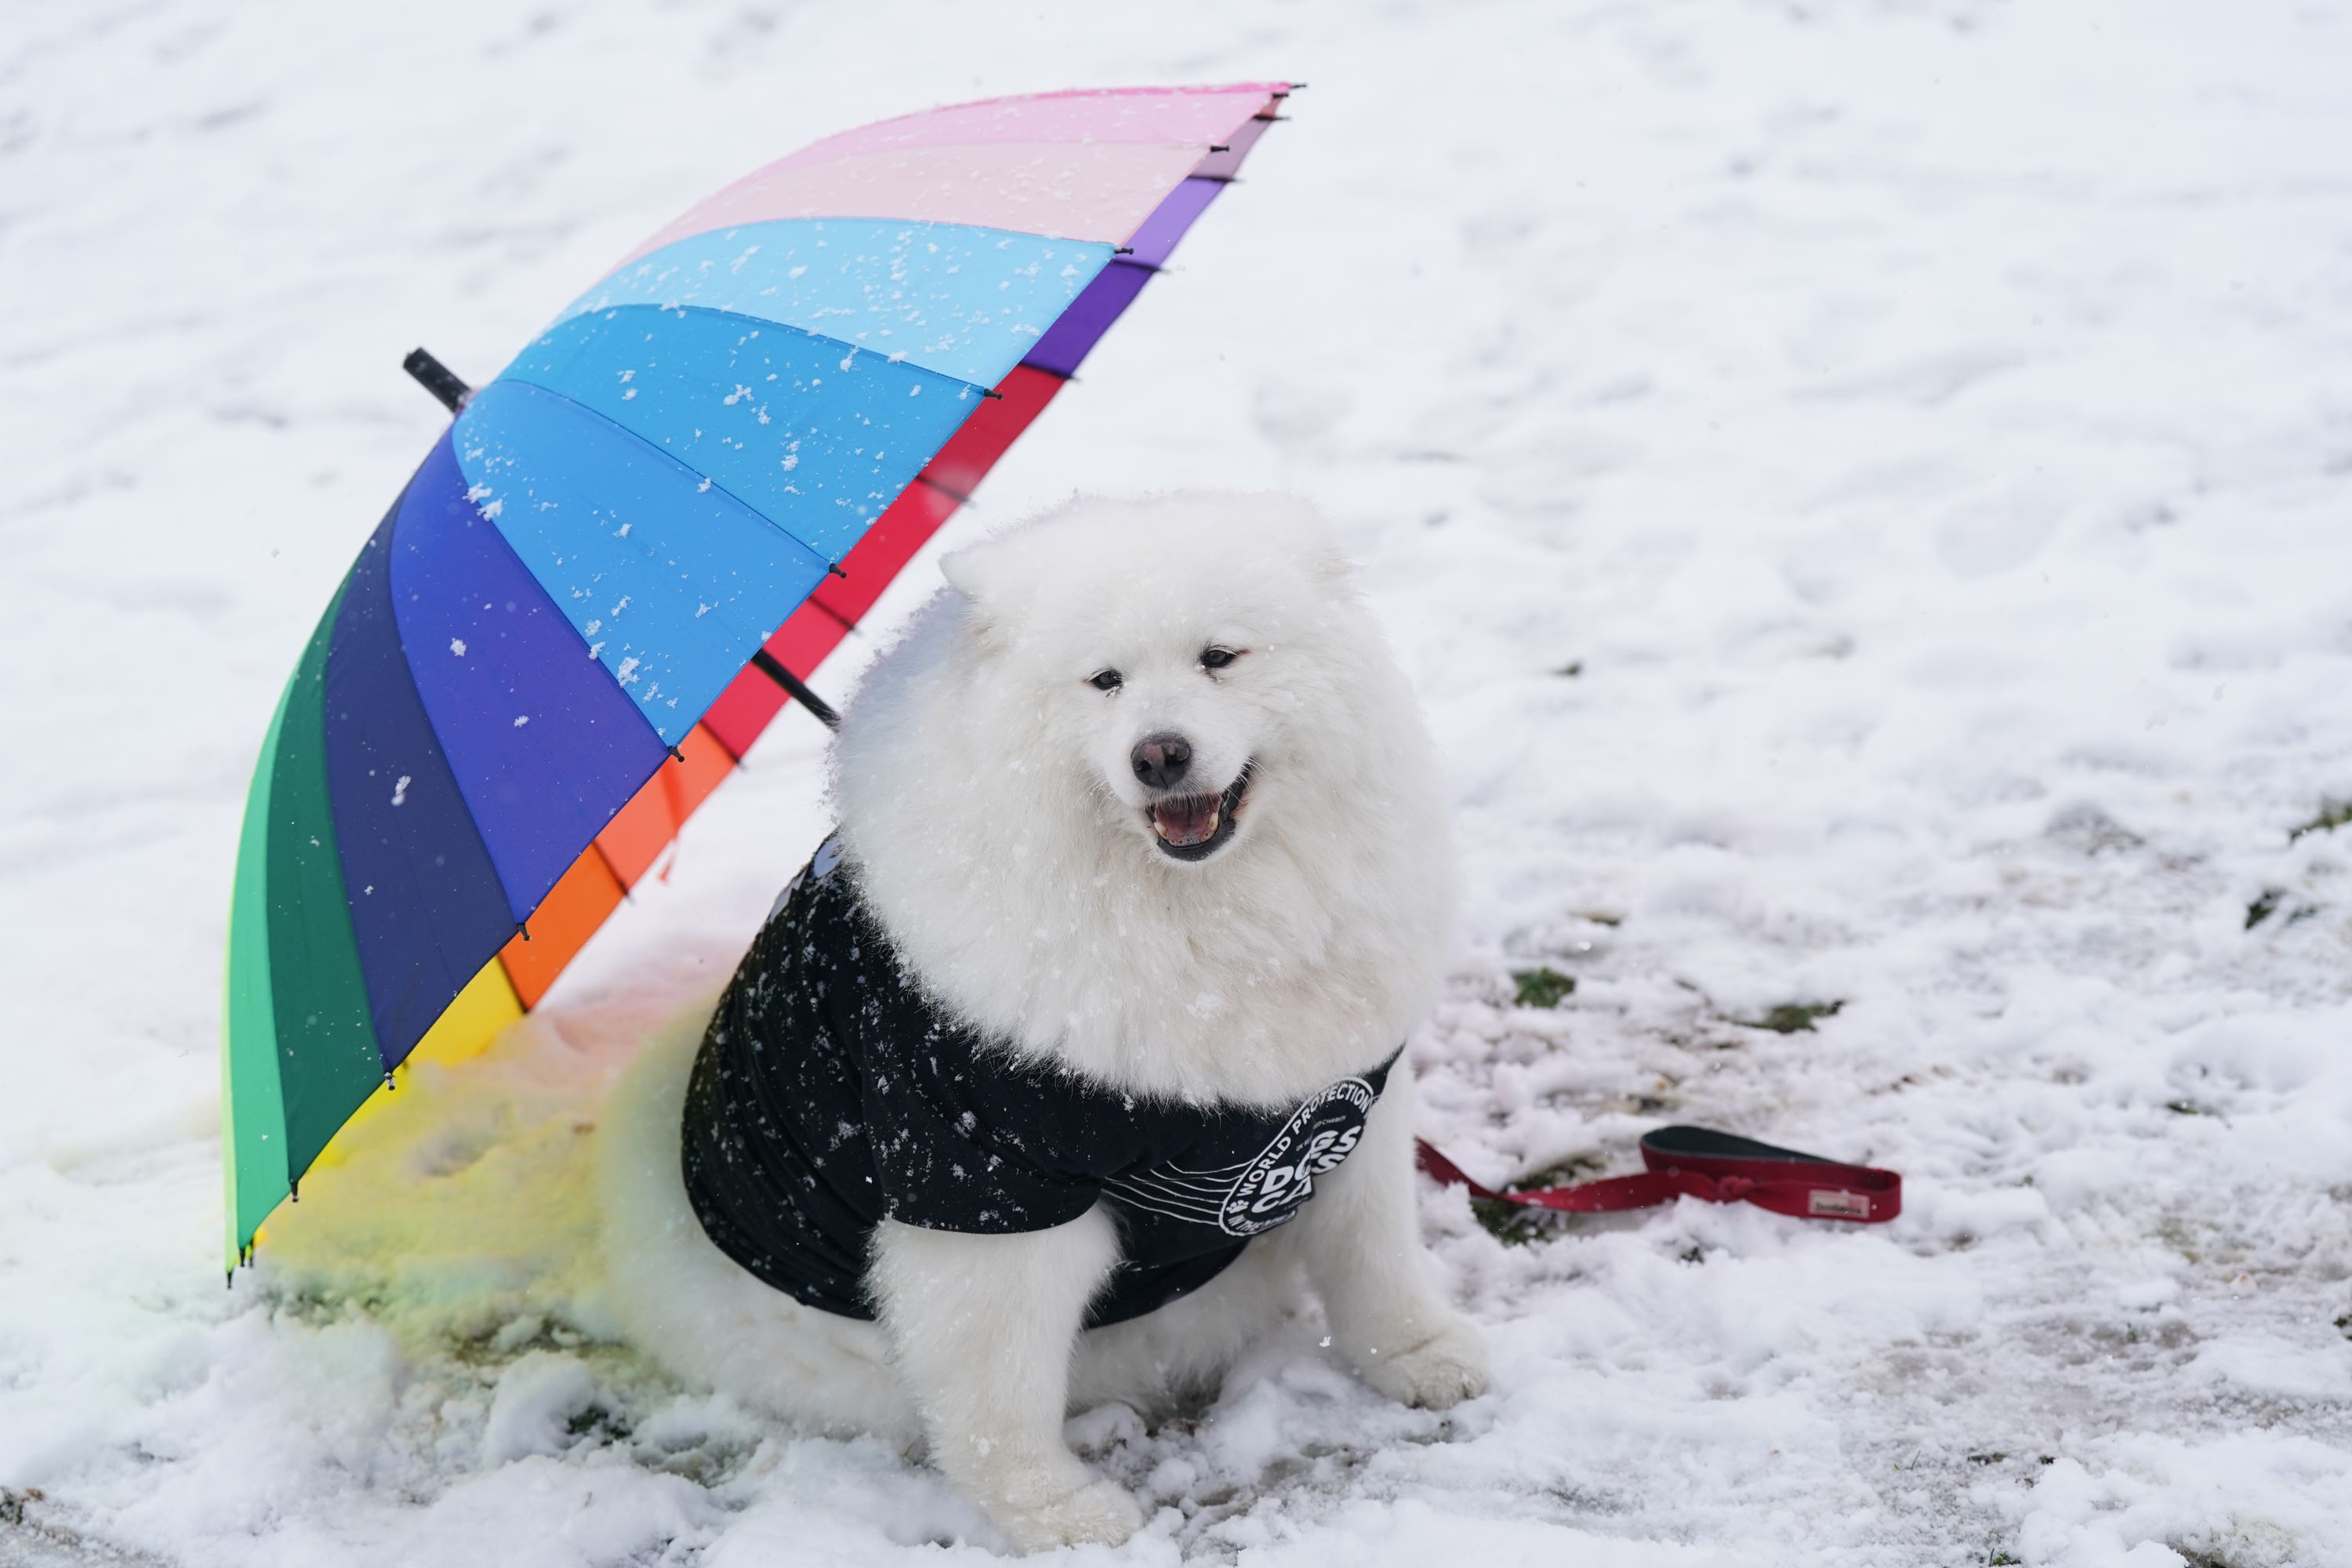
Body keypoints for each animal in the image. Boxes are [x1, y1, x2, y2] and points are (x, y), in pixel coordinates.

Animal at [607, 495, 1486, 1552]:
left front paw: (1423, 1355)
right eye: (1104, 680)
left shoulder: (1347, 1101)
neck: (1202, 921)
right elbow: (997, 1397)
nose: (1161, 753)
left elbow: (1377, 1258)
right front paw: (1055, 1514)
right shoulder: (986, 1185)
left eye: (1219, 657)